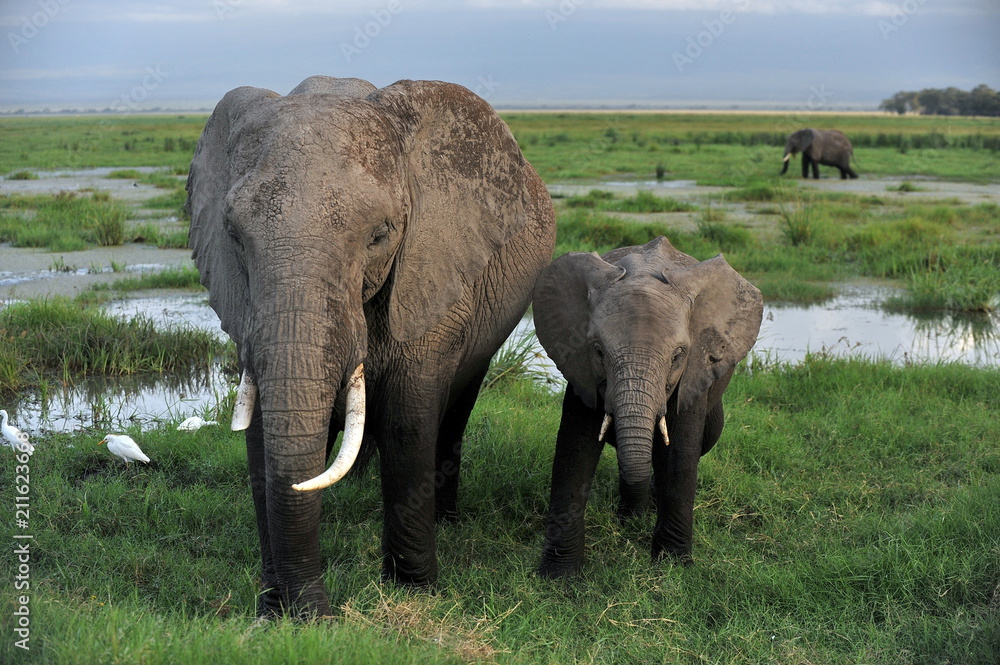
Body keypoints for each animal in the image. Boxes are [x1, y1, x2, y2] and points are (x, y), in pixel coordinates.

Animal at [185, 75, 556, 617]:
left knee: (457, 403)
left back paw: (445, 519)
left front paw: (415, 588)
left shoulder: (434, 270)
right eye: (233, 234)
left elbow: (408, 419)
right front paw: (272, 606)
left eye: (380, 235)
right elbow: (259, 437)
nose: (318, 614)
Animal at [531, 237, 762, 577]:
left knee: (707, 438)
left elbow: (680, 453)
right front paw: (558, 576)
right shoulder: (581, 368)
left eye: (678, 356)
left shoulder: (694, 370)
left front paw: (674, 567)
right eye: (598, 351)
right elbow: (574, 448)